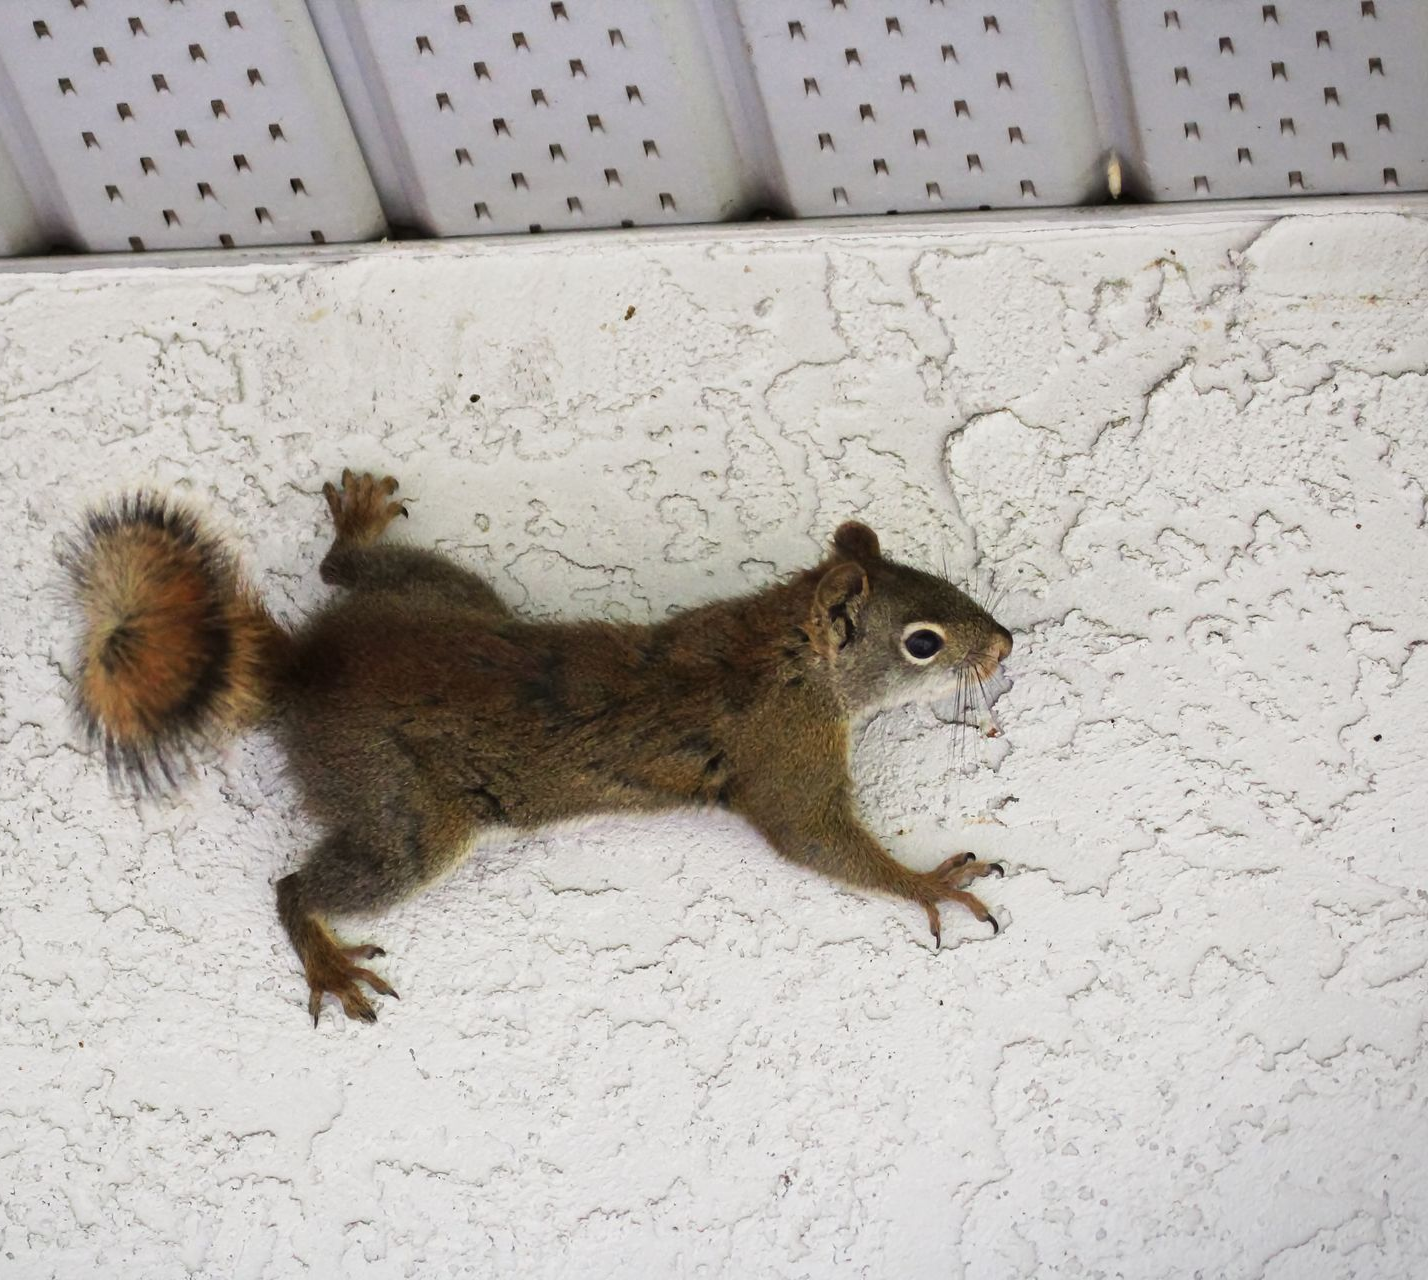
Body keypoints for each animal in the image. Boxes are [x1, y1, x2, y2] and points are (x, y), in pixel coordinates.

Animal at [63, 470, 1014, 1025]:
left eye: (946, 582)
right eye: (923, 642)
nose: (1005, 645)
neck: (783, 648)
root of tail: (308, 669)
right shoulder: (784, 756)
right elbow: (815, 840)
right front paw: (930, 882)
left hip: (445, 593)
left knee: (343, 574)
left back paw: (359, 529)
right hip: (406, 812)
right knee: (299, 884)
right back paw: (327, 959)